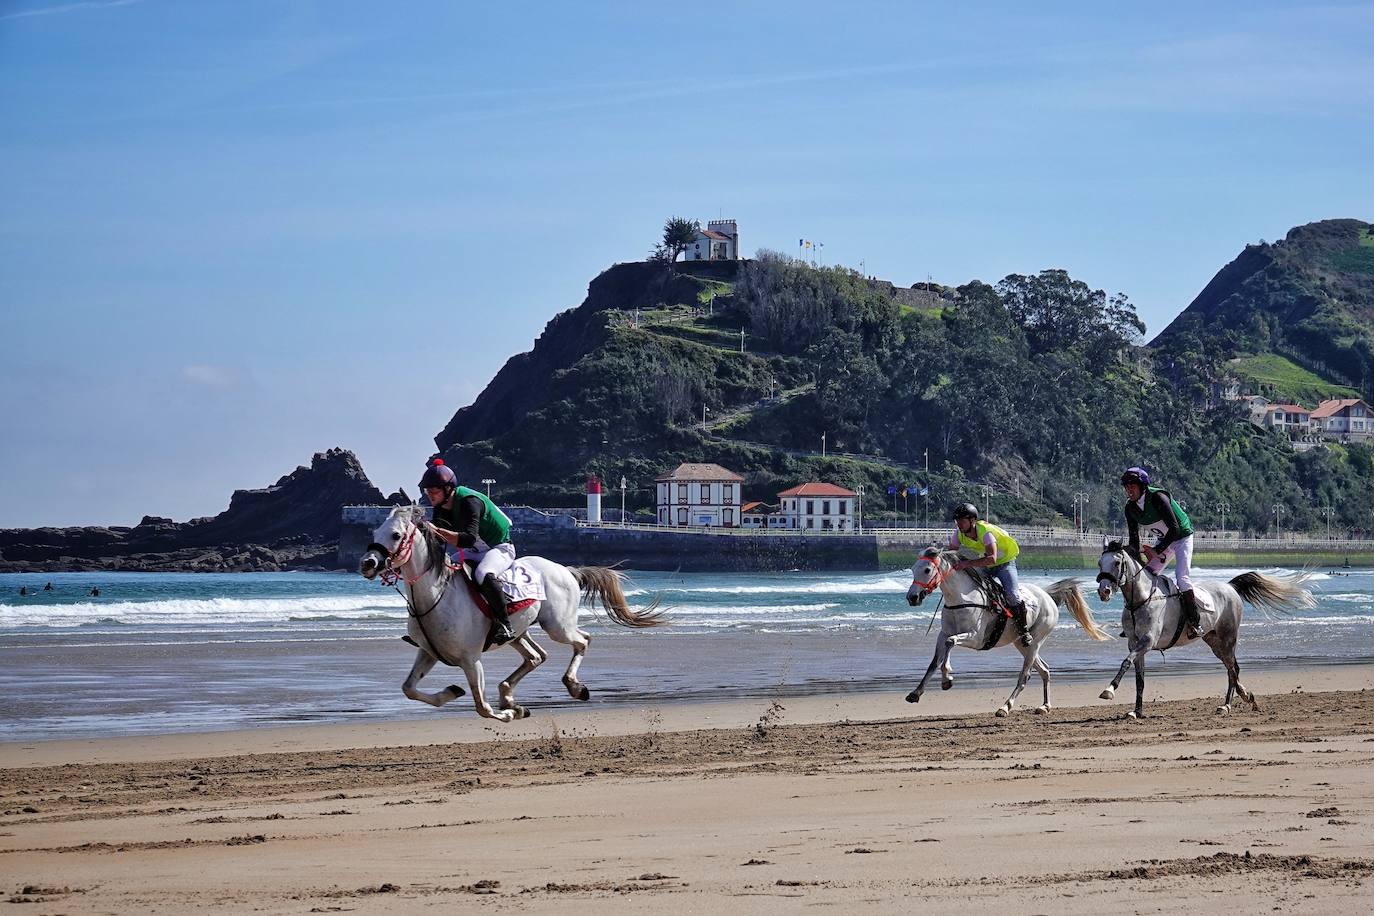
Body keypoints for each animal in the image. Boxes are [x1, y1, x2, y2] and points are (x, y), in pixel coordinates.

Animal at [357, 502, 662, 725]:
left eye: (396, 535)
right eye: (374, 534)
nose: (367, 564)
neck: (436, 596)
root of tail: (565, 569)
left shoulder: (471, 660)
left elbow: (481, 706)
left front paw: (508, 713)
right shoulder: (428, 652)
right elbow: (408, 688)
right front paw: (453, 692)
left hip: (557, 626)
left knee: (582, 640)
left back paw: (574, 687)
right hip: (518, 632)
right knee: (537, 656)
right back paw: (509, 694)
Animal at [901, 543, 1115, 714]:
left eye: (927, 569)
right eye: (912, 569)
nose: (912, 597)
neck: (962, 600)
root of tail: (1046, 595)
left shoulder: (976, 638)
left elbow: (950, 642)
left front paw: (947, 677)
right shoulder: (943, 633)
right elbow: (935, 659)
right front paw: (916, 692)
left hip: (1036, 641)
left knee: (1025, 675)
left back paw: (1005, 706)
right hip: (1021, 643)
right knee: (1044, 670)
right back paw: (1044, 706)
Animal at [1088, 538, 1313, 725]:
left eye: (1117, 563)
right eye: (1099, 563)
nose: (1103, 591)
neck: (1141, 600)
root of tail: (1230, 587)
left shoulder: (1148, 641)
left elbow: (1126, 662)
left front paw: (1109, 690)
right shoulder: (1135, 643)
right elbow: (1139, 678)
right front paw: (1136, 711)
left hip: (1228, 638)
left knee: (1232, 670)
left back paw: (1227, 705)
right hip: (1214, 642)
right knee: (1233, 668)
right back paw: (1245, 695)